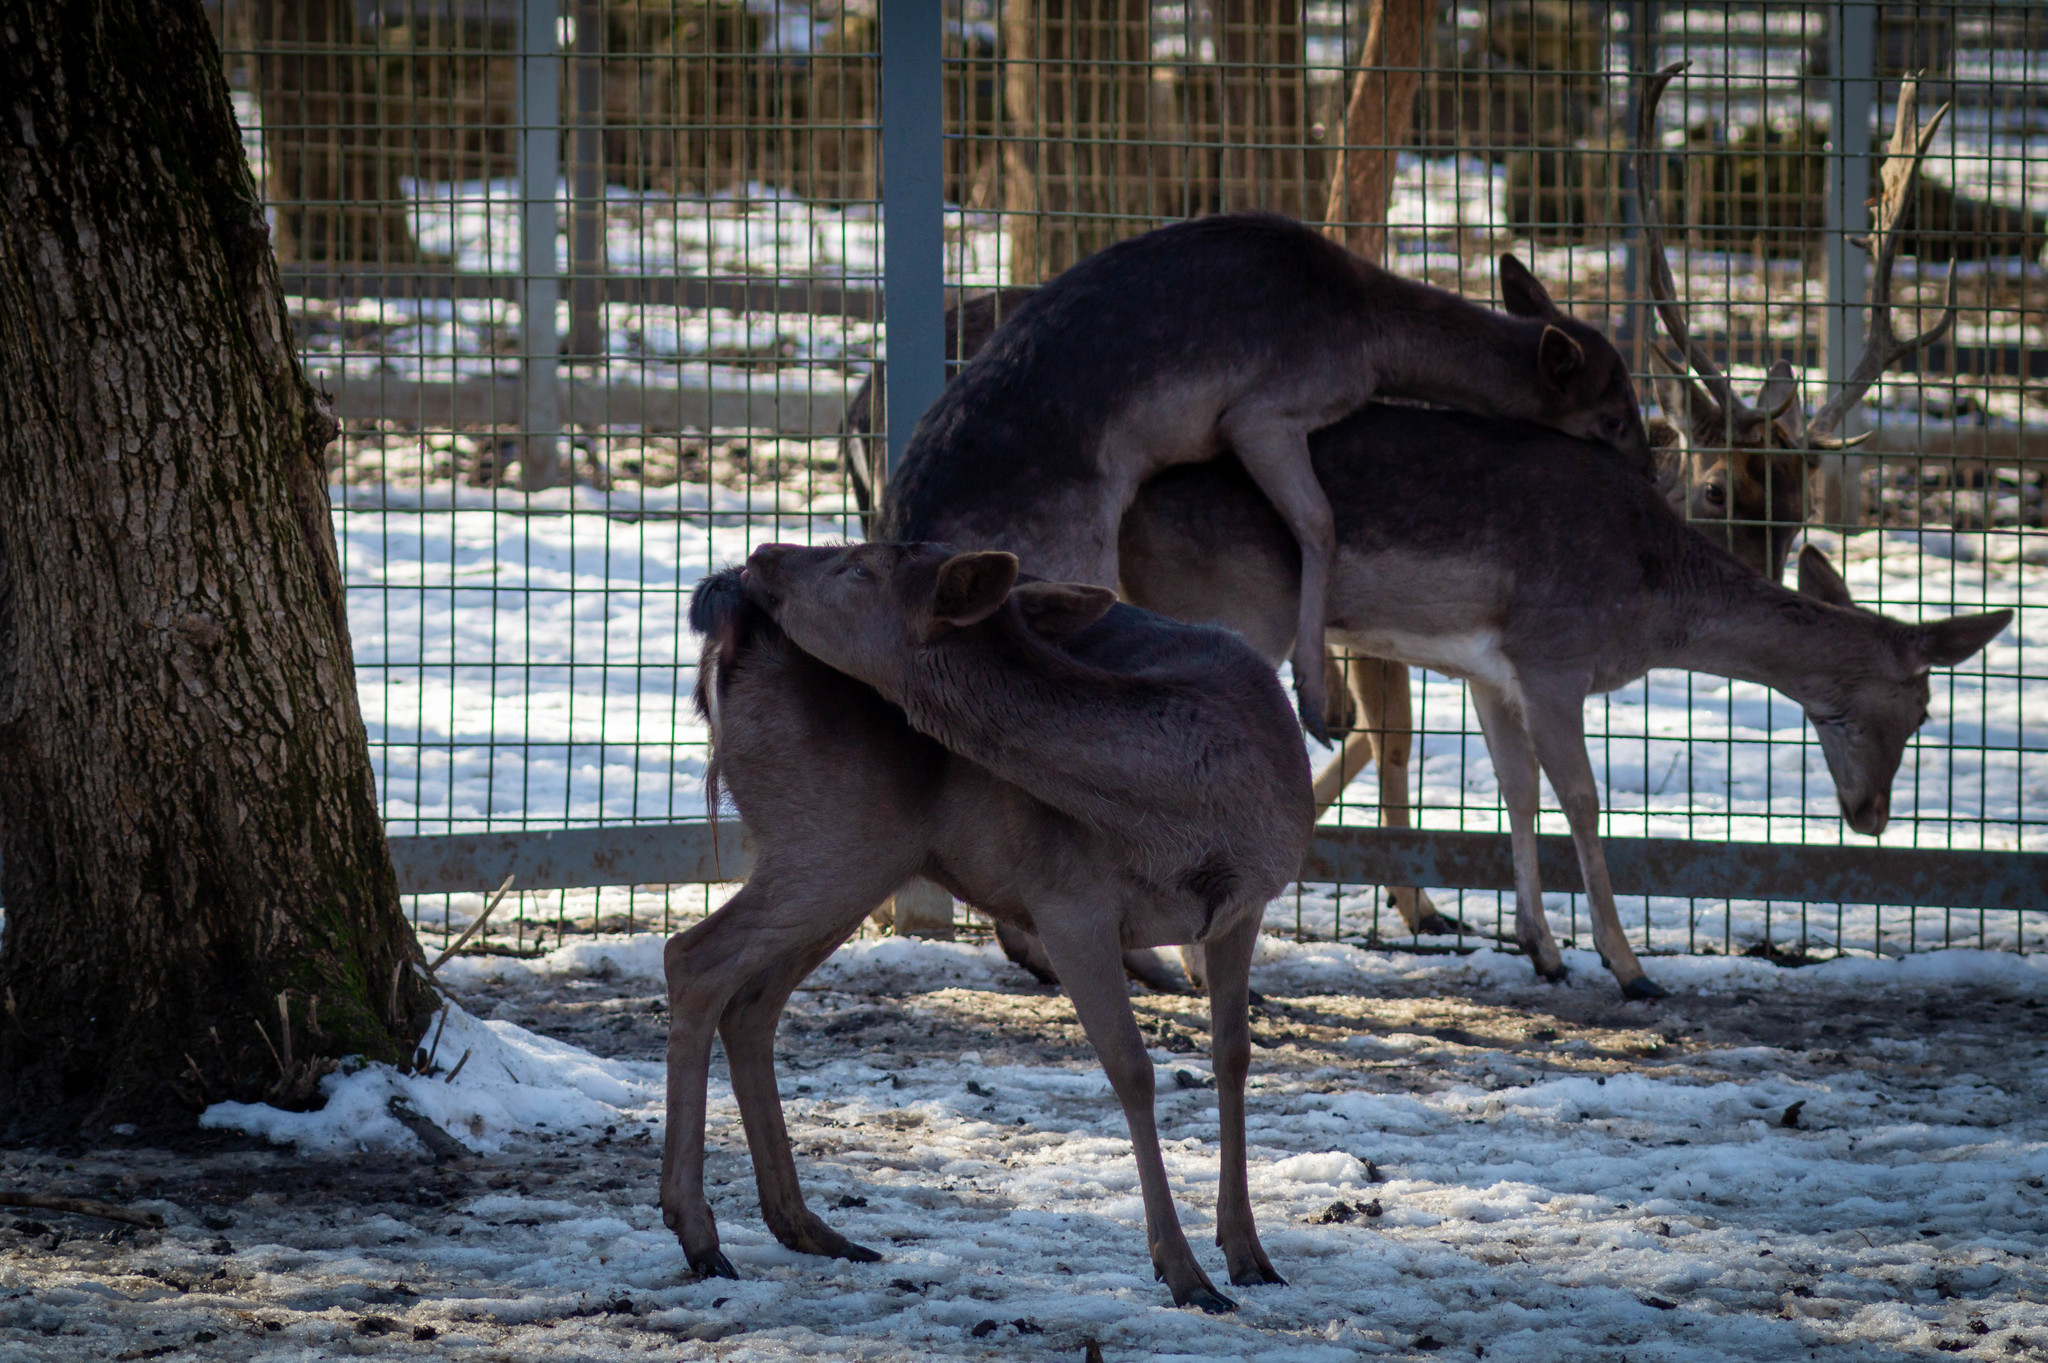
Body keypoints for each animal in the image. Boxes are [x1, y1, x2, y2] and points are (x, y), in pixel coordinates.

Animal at [671, 540, 1310, 1309]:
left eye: (858, 565)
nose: (761, 555)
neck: (1199, 822)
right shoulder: (1066, 899)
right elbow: (1131, 1069)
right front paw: (1184, 1273)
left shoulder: (1247, 905)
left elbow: (1234, 1057)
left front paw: (1250, 1253)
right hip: (827, 835)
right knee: (693, 956)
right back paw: (699, 1235)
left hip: (857, 856)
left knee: (752, 1003)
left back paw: (808, 1227)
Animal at [876, 213, 1646, 744]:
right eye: (1612, 417)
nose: (1651, 462)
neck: (1371, 339)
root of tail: (904, 524)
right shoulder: (1266, 409)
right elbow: (1319, 523)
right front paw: (1317, 702)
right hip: (1066, 560)